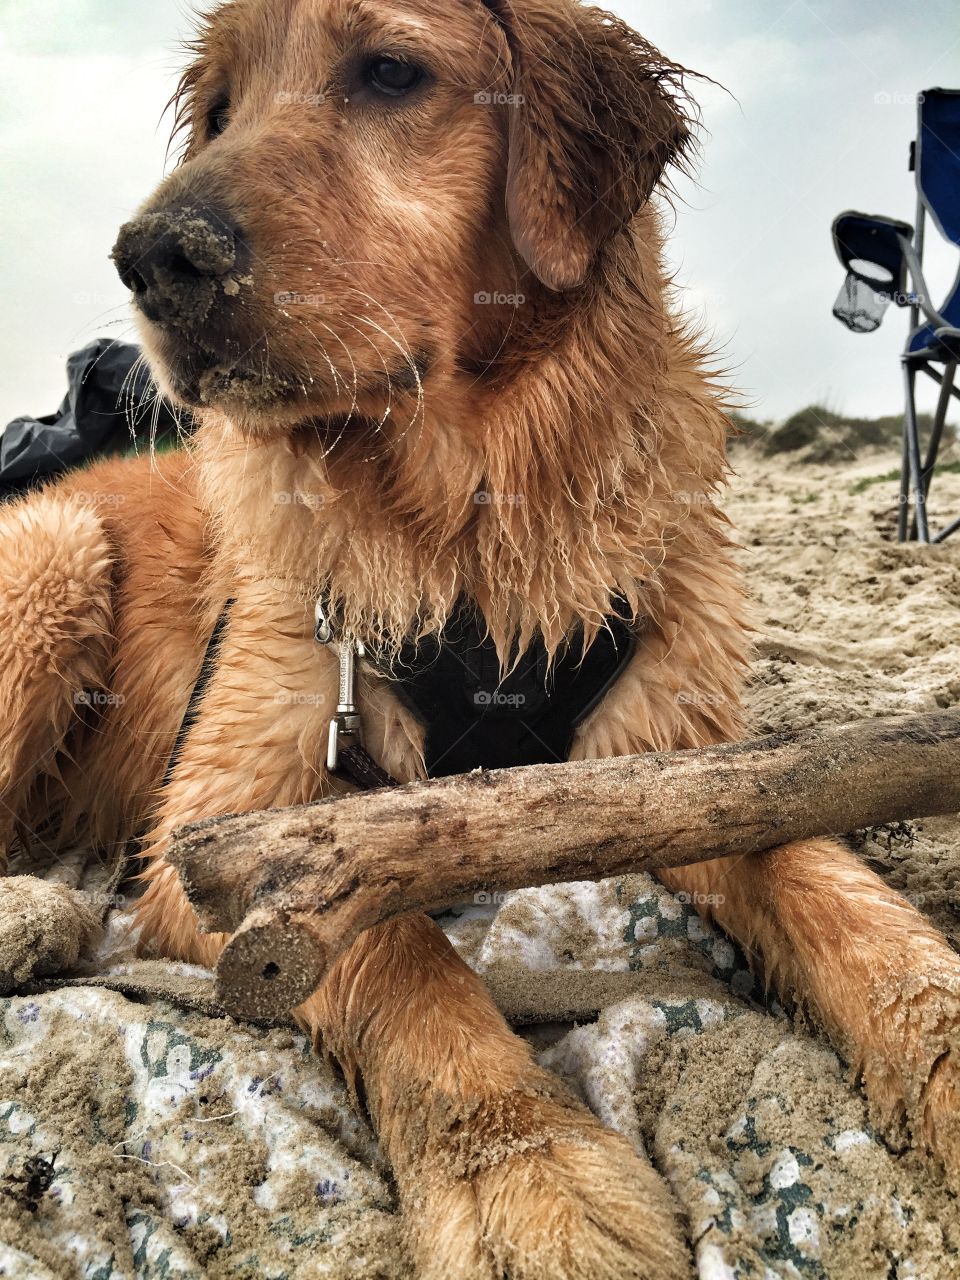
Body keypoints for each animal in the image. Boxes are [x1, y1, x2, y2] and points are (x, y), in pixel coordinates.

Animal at [1, 0, 960, 1274]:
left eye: (390, 72)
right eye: (219, 111)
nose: (153, 258)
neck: (469, 519)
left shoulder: (679, 771)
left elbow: (826, 878)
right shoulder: (223, 819)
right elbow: (398, 946)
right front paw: (523, 1170)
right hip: (54, 551)